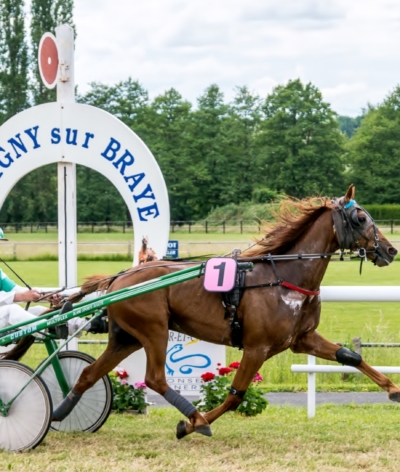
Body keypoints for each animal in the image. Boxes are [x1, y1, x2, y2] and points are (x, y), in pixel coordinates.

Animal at [14, 184, 400, 438]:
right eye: (360, 217)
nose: (390, 250)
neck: (285, 276)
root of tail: (121, 276)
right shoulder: (257, 347)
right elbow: (235, 396)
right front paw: (190, 425)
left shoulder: (301, 338)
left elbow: (350, 356)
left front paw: (393, 389)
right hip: (154, 329)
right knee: (154, 378)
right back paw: (193, 417)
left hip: (126, 337)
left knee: (88, 374)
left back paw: (61, 411)